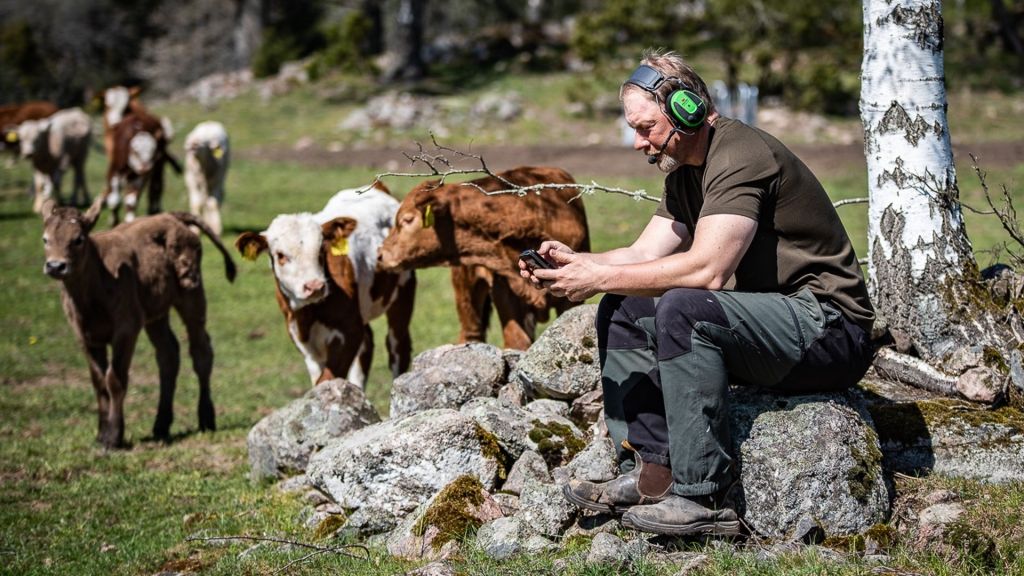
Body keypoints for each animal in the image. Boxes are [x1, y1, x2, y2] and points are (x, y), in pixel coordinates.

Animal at [41, 194, 235, 446]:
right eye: (45, 239)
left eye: (78, 239)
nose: (56, 265)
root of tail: (171, 216)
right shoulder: (85, 337)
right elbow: (99, 383)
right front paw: (101, 433)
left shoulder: (126, 329)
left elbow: (115, 379)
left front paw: (114, 436)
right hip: (156, 314)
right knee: (168, 355)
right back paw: (161, 425)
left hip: (192, 295)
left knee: (201, 352)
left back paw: (206, 418)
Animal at [235, 180, 415, 385]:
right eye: (280, 255)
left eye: (322, 250)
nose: (315, 286)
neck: (308, 314)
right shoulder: (301, 339)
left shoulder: (349, 331)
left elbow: (327, 379)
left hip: (403, 292)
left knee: (397, 345)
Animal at [376, 163, 589, 348]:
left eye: (407, 219)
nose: (380, 254)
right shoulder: (504, 290)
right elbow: (517, 341)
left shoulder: (571, 299)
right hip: (466, 291)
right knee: (471, 333)